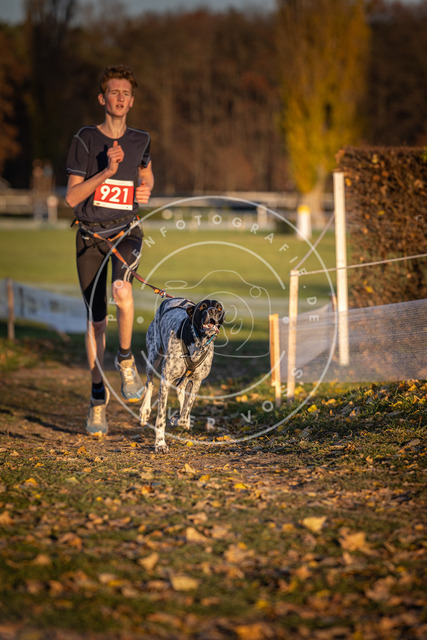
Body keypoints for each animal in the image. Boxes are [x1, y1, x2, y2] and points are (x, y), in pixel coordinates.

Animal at [139, 297, 225, 453]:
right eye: (202, 306)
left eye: (219, 308)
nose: (212, 311)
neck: (198, 343)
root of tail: (170, 298)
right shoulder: (166, 380)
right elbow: (161, 417)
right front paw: (160, 444)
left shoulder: (197, 381)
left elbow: (185, 411)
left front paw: (178, 420)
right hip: (154, 355)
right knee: (149, 382)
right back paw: (145, 411)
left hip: (185, 375)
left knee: (180, 387)